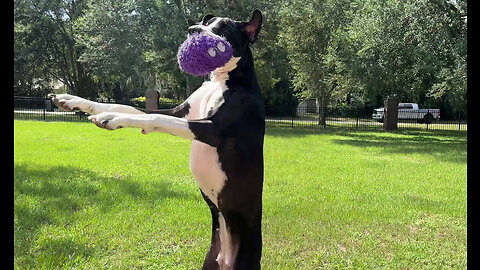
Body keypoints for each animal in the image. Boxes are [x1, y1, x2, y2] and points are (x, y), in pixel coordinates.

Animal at [50, 9, 266, 268]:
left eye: (224, 29)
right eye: (207, 22)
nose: (192, 30)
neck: (221, 81)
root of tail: (226, 257)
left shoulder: (214, 130)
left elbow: (156, 118)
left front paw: (112, 118)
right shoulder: (178, 111)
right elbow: (130, 107)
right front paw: (74, 101)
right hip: (210, 260)